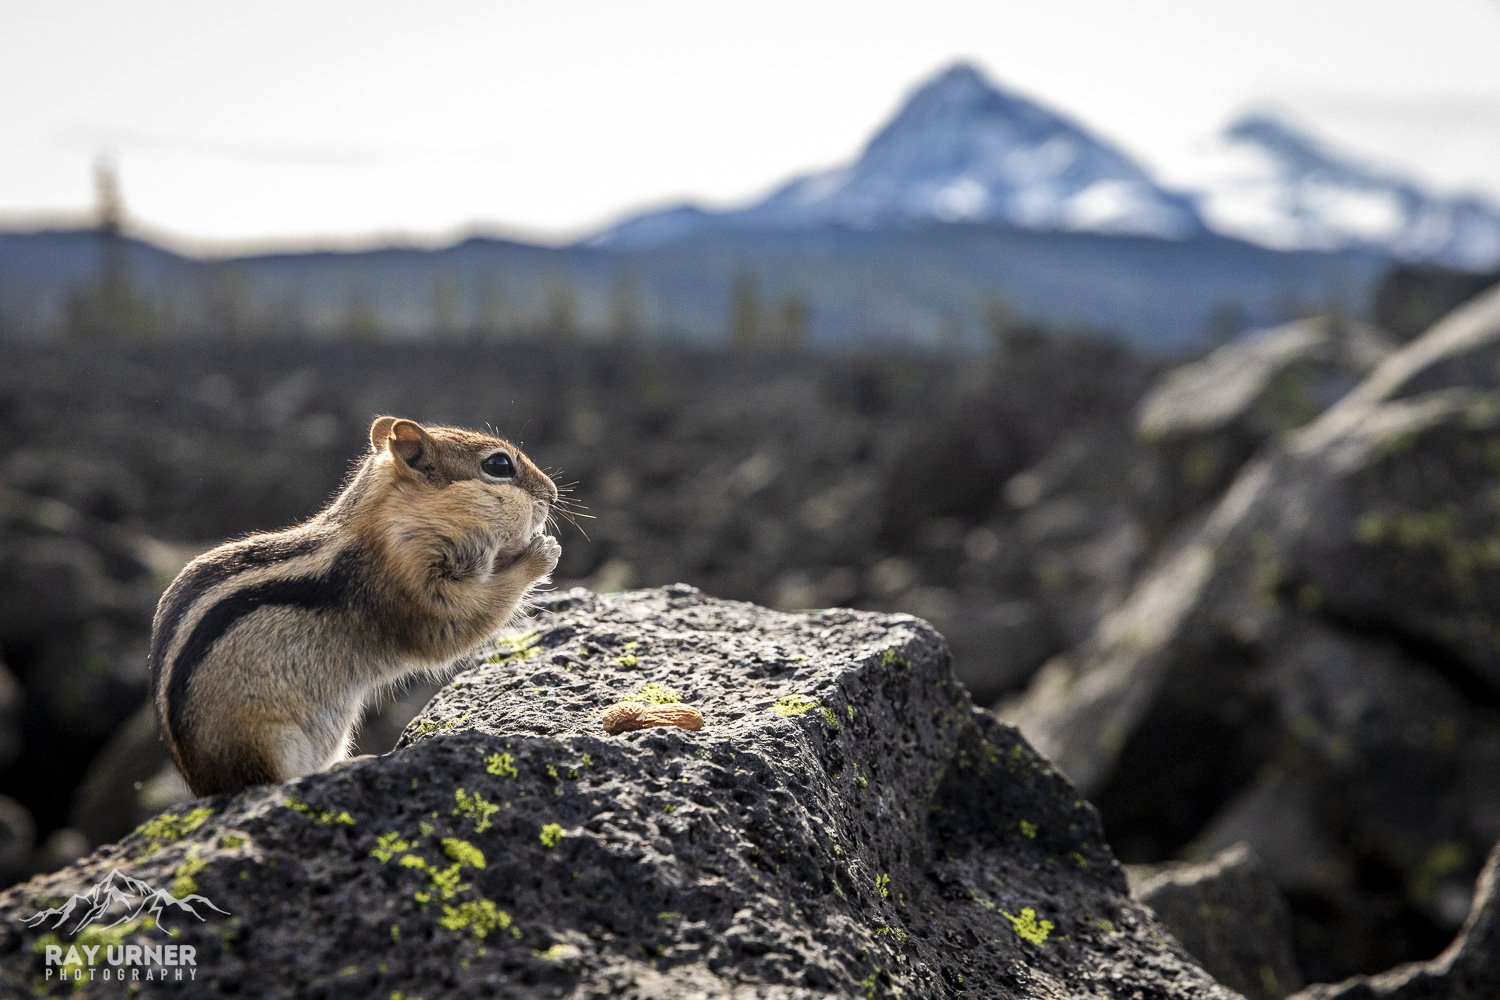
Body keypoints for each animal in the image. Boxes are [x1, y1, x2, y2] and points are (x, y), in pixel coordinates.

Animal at [149, 413, 561, 797]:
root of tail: (204, 786)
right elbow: (455, 625)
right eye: (499, 465)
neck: (396, 523)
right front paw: (540, 554)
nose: (553, 494)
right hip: (269, 741)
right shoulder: (411, 589)